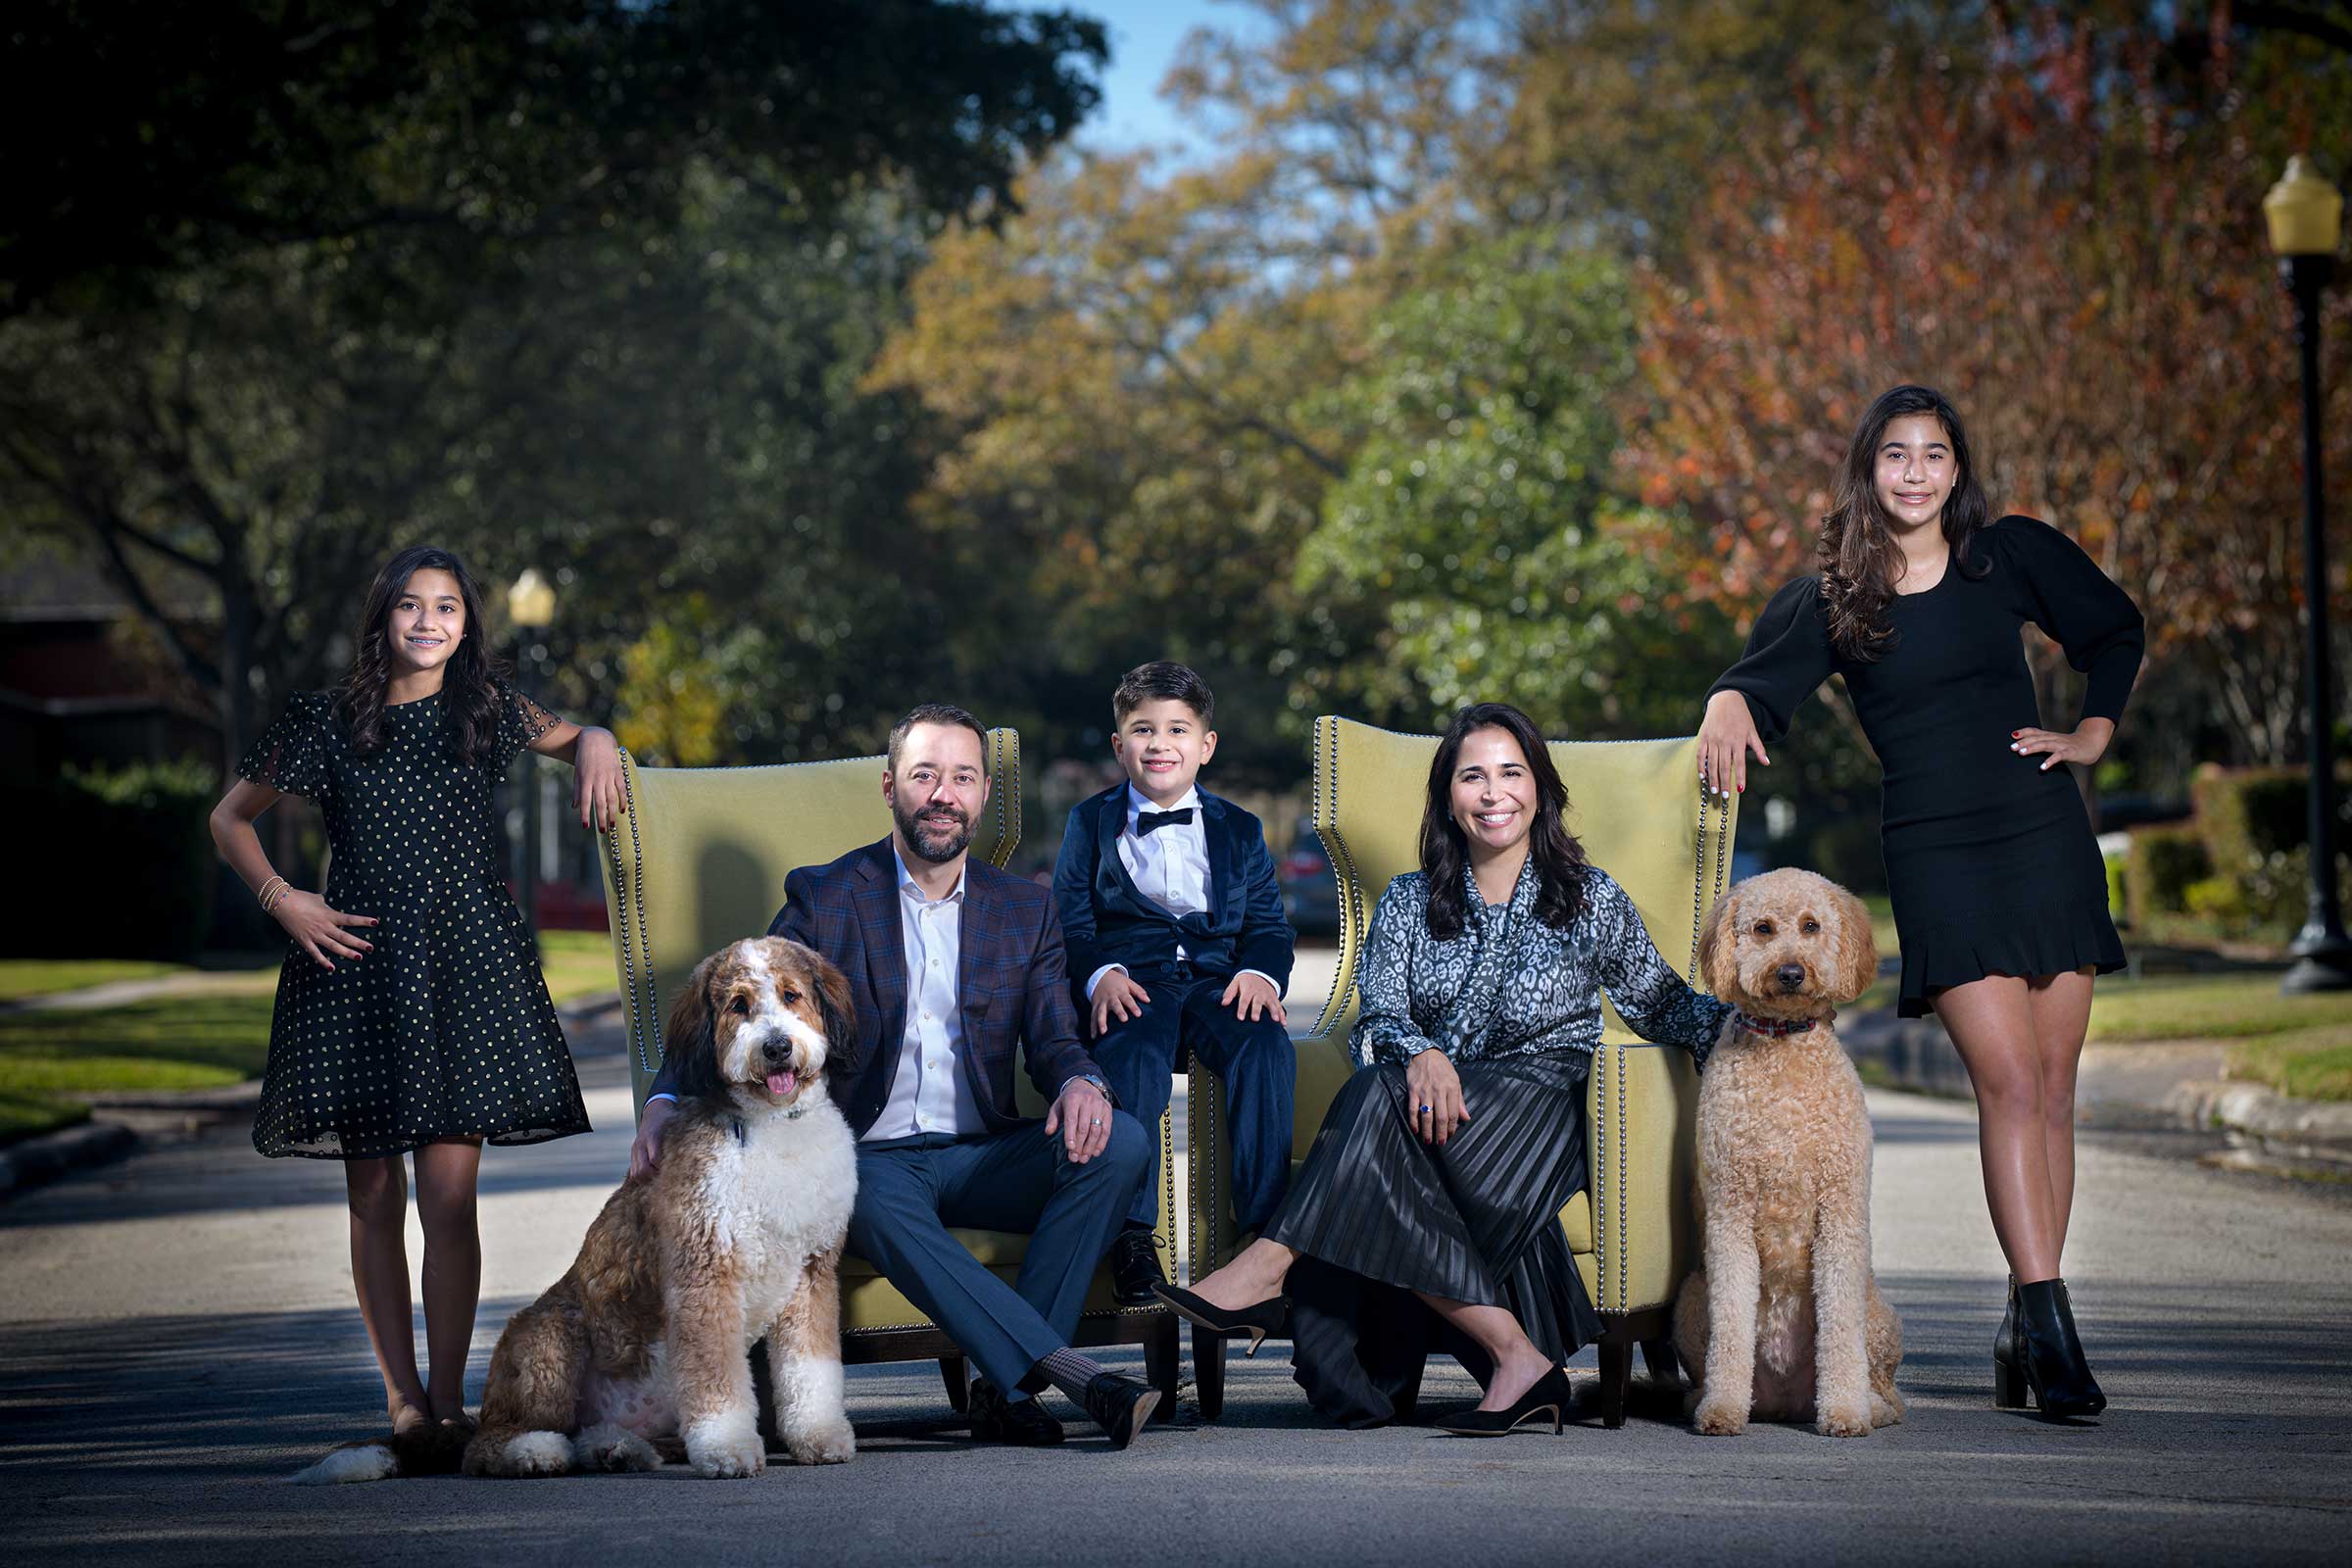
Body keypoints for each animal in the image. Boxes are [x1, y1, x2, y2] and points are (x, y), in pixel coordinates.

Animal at [283, 940, 860, 1494]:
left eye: (791, 995)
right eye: (739, 1005)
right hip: (551, 1338)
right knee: (490, 1447)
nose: (776, 1047)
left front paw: (819, 1436)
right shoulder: (706, 1275)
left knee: (589, 1435)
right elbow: (717, 1382)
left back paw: (616, 1450)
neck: (771, 1127)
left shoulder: (812, 1272)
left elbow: (811, 1368)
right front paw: (728, 1451)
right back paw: (536, 1453)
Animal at [1674, 864, 1909, 1439]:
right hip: (1691, 1299)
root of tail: (1785, 1402)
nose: (1789, 972)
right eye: (1762, 929)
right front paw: (1722, 1410)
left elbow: (1839, 1331)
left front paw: (1844, 1414)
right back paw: (1706, 1400)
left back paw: (1870, 1406)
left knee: (1887, 1387)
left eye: (1810, 926)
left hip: (1881, 1315)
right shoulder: (1730, 1214)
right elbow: (1731, 1327)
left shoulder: (1840, 1210)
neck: (1783, 1043)